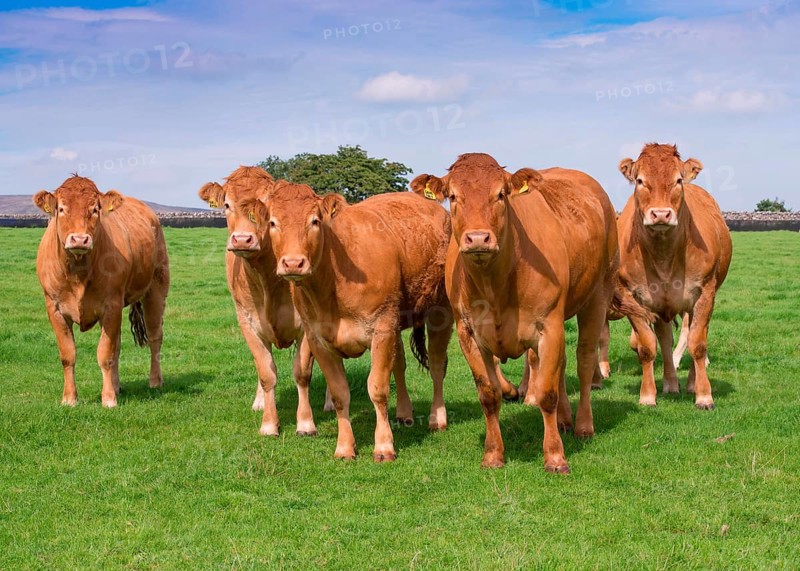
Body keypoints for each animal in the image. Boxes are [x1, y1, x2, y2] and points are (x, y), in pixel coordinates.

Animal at [33, 175, 169, 407]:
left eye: (95, 209)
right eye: (61, 208)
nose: (79, 239)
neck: (78, 272)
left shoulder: (111, 305)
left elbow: (105, 354)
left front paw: (108, 399)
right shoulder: (54, 307)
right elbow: (68, 355)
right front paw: (69, 398)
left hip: (156, 289)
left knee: (154, 337)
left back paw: (155, 381)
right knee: (119, 344)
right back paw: (117, 386)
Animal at [198, 166, 331, 436]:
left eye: (262, 206)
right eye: (226, 205)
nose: (242, 239)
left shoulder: (307, 326)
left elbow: (302, 373)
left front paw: (305, 423)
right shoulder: (247, 322)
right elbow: (266, 372)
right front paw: (269, 423)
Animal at [262, 182, 454, 462]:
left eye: (315, 221)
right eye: (273, 222)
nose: (293, 263)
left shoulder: (381, 328)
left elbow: (378, 388)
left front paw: (384, 446)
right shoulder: (318, 339)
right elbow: (340, 394)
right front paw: (344, 447)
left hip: (441, 311)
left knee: (438, 365)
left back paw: (437, 418)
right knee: (400, 365)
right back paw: (404, 413)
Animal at [412, 153, 618, 473]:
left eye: (500, 194)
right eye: (453, 196)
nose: (478, 238)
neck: (495, 285)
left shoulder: (549, 325)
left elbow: (546, 393)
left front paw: (555, 456)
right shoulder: (467, 333)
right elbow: (489, 395)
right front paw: (493, 454)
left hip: (598, 295)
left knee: (584, 360)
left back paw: (583, 425)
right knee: (560, 366)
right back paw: (564, 419)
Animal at [616, 143, 732, 409]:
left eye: (678, 180)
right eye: (640, 180)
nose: (660, 214)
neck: (663, 255)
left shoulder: (704, 293)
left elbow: (698, 344)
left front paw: (704, 395)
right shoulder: (630, 297)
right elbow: (648, 346)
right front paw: (647, 395)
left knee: (692, 334)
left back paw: (690, 384)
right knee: (665, 338)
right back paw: (670, 383)